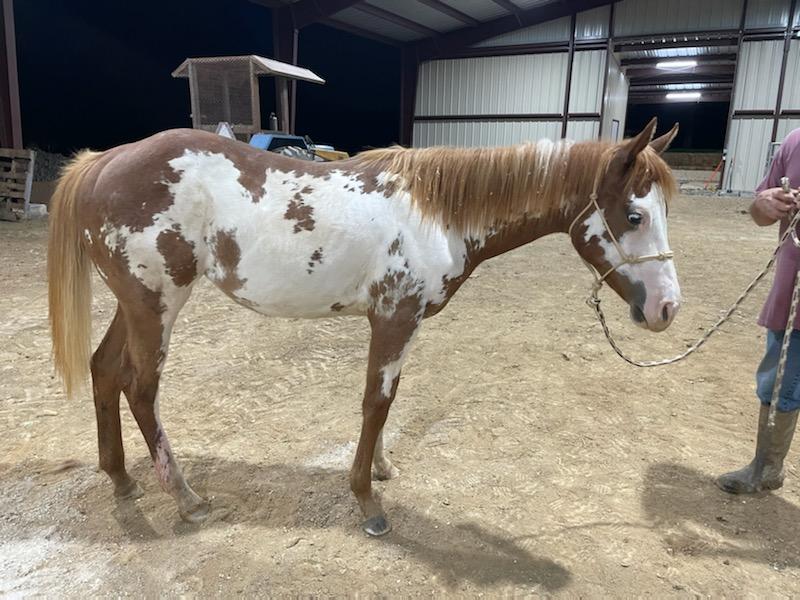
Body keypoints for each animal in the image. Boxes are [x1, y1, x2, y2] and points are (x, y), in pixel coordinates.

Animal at [45, 116, 680, 536]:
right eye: (633, 215)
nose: (667, 309)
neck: (436, 213)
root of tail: (103, 162)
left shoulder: (402, 325)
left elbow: (387, 401)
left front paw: (380, 469)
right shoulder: (394, 319)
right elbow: (376, 403)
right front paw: (367, 503)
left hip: (133, 304)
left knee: (104, 370)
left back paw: (121, 480)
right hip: (156, 303)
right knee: (141, 388)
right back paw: (185, 498)